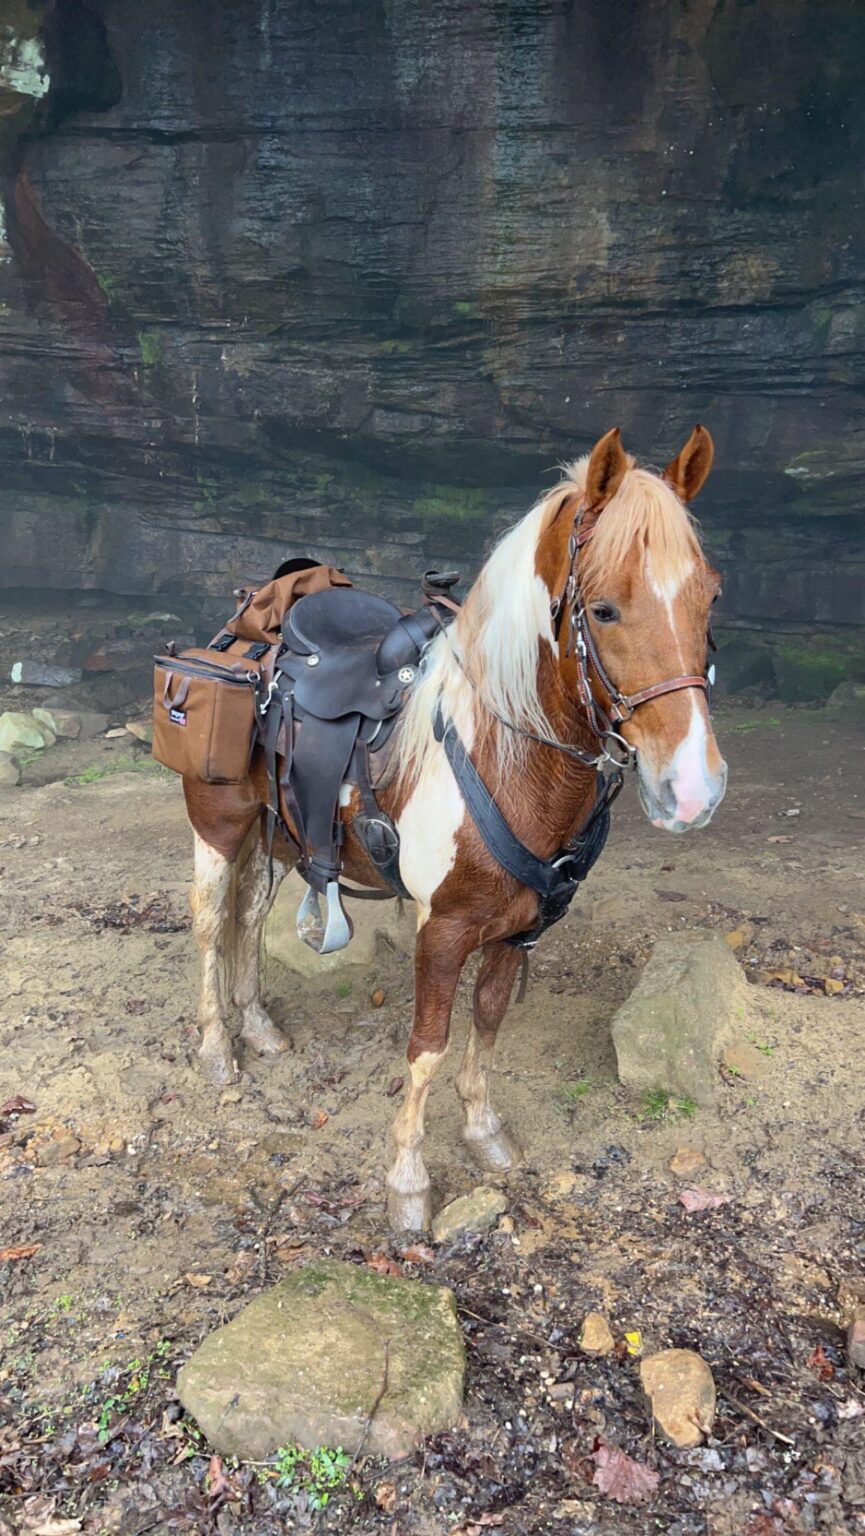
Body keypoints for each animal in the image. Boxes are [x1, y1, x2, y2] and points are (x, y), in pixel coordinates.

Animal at [182, 425, 727, 1231]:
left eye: (708, 596)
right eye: (602, 611)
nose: (692, 788)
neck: (504, 757)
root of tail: (250, 624)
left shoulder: (518, 928)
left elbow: (488, 1023)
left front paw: (482, 1133)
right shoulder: (441, 931)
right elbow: (429, 1046)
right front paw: (408, 1183)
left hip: (272, 830)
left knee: (249, 917)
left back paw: (259, 1028)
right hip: (218, 826)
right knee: (210, 922)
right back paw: (219, 1048)